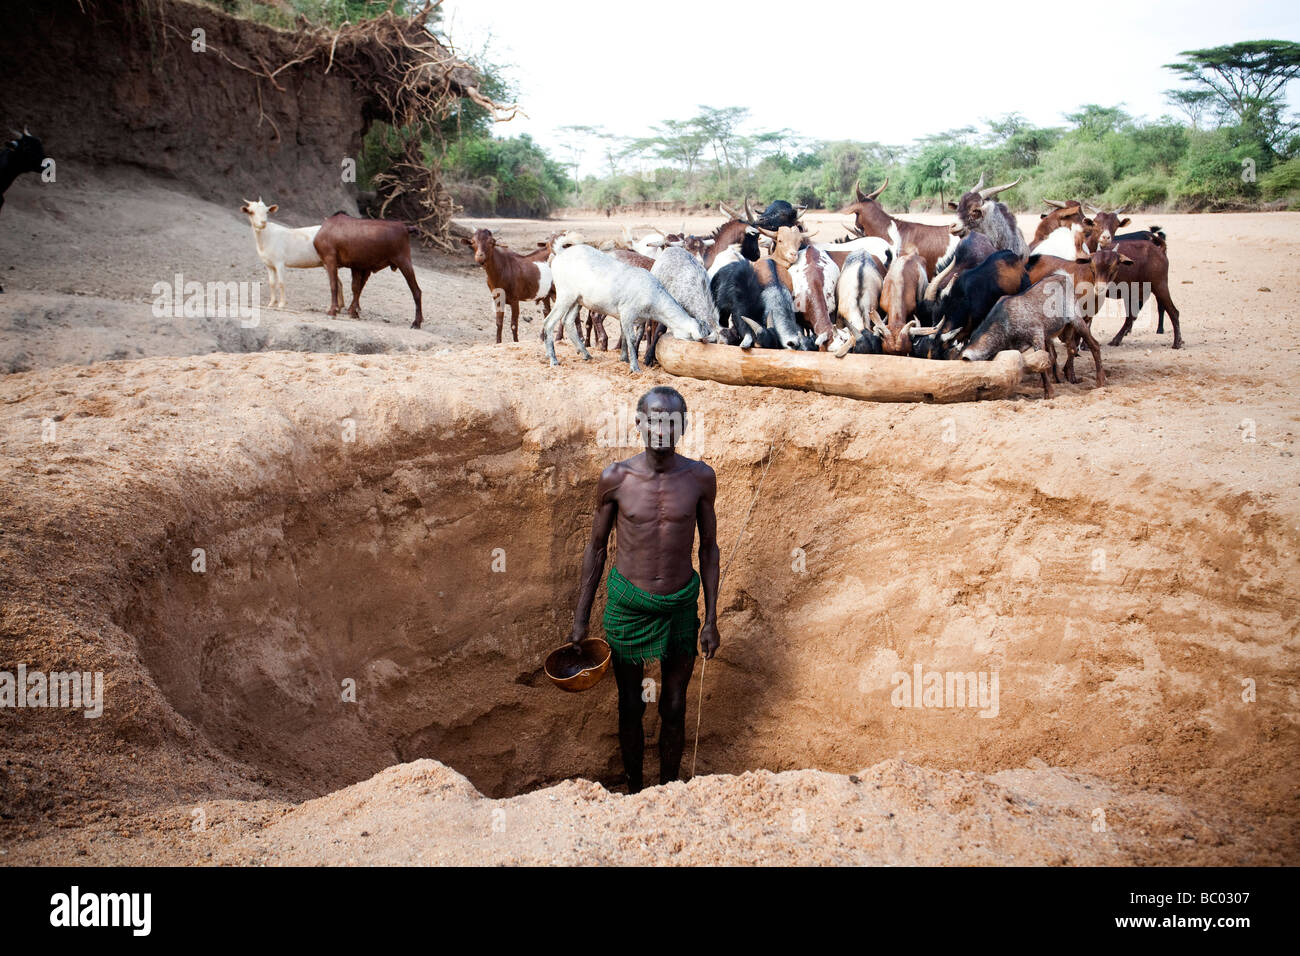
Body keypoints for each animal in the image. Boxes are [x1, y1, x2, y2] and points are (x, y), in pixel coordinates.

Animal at [543, 244, 717, 371]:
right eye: (692, 339)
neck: (654, 297)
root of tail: (559, 254)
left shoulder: (636, 318)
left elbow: (630, 337)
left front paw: (624, 359)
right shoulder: (627, 312)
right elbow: (631, 338)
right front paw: (635, 367)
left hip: (577, 300)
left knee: (568, 322)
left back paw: (586, 355)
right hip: (565, 294)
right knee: (548, 322)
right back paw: (553, 359)